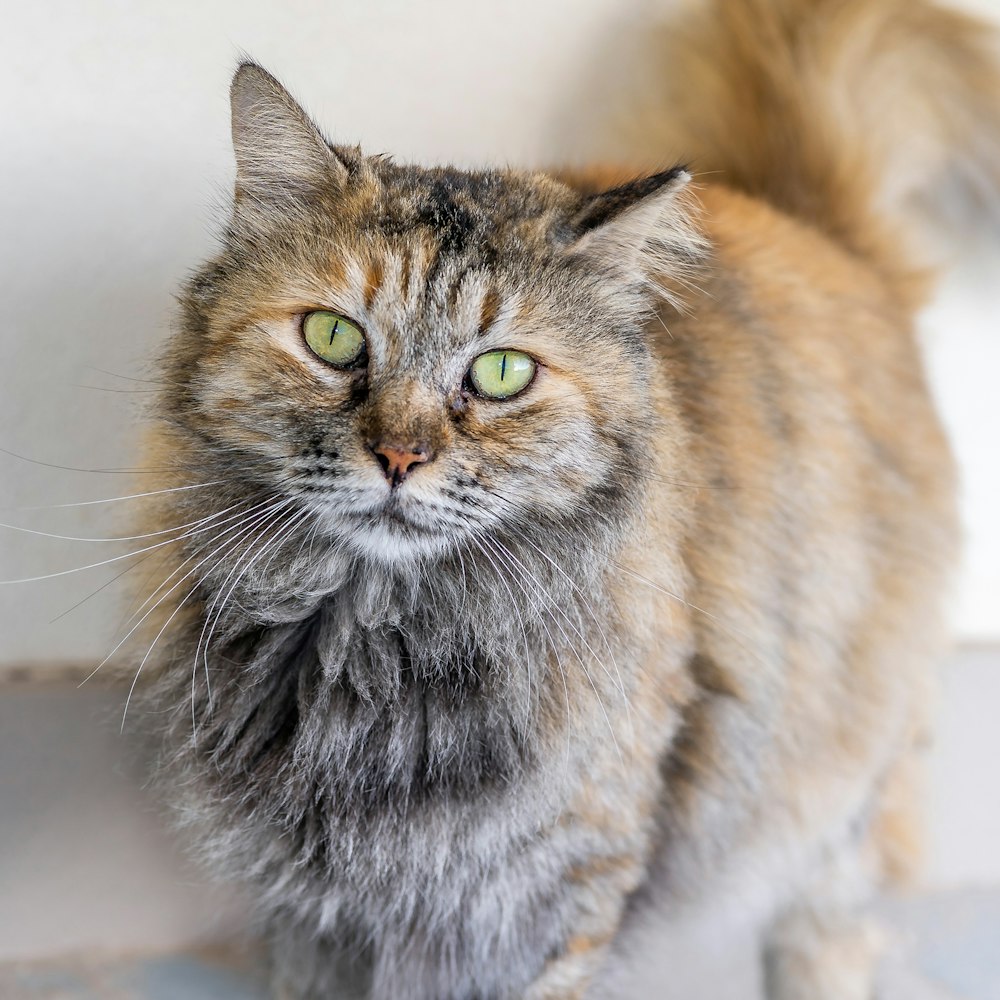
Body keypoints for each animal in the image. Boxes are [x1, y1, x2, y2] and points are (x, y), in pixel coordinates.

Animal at [133, 1, 1000, 1000]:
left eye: (503, 373)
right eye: (333, 338)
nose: (399, 455)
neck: (375, 650)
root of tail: (807, 221)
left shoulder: (555, 889)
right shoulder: (310, 912)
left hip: (834, 799)